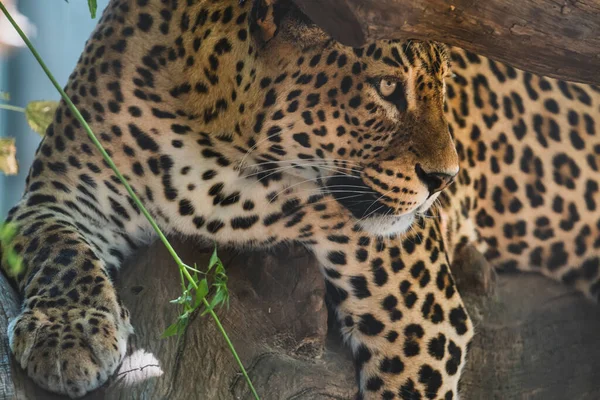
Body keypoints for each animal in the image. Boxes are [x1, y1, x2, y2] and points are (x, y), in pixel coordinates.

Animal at [0, 0, 596, 398]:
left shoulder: (420, 318)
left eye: (444, 86)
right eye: (386, 88)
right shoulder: (55, 195)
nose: (445, 178)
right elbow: (61, 250)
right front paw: (70, 334)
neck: (226, 155)